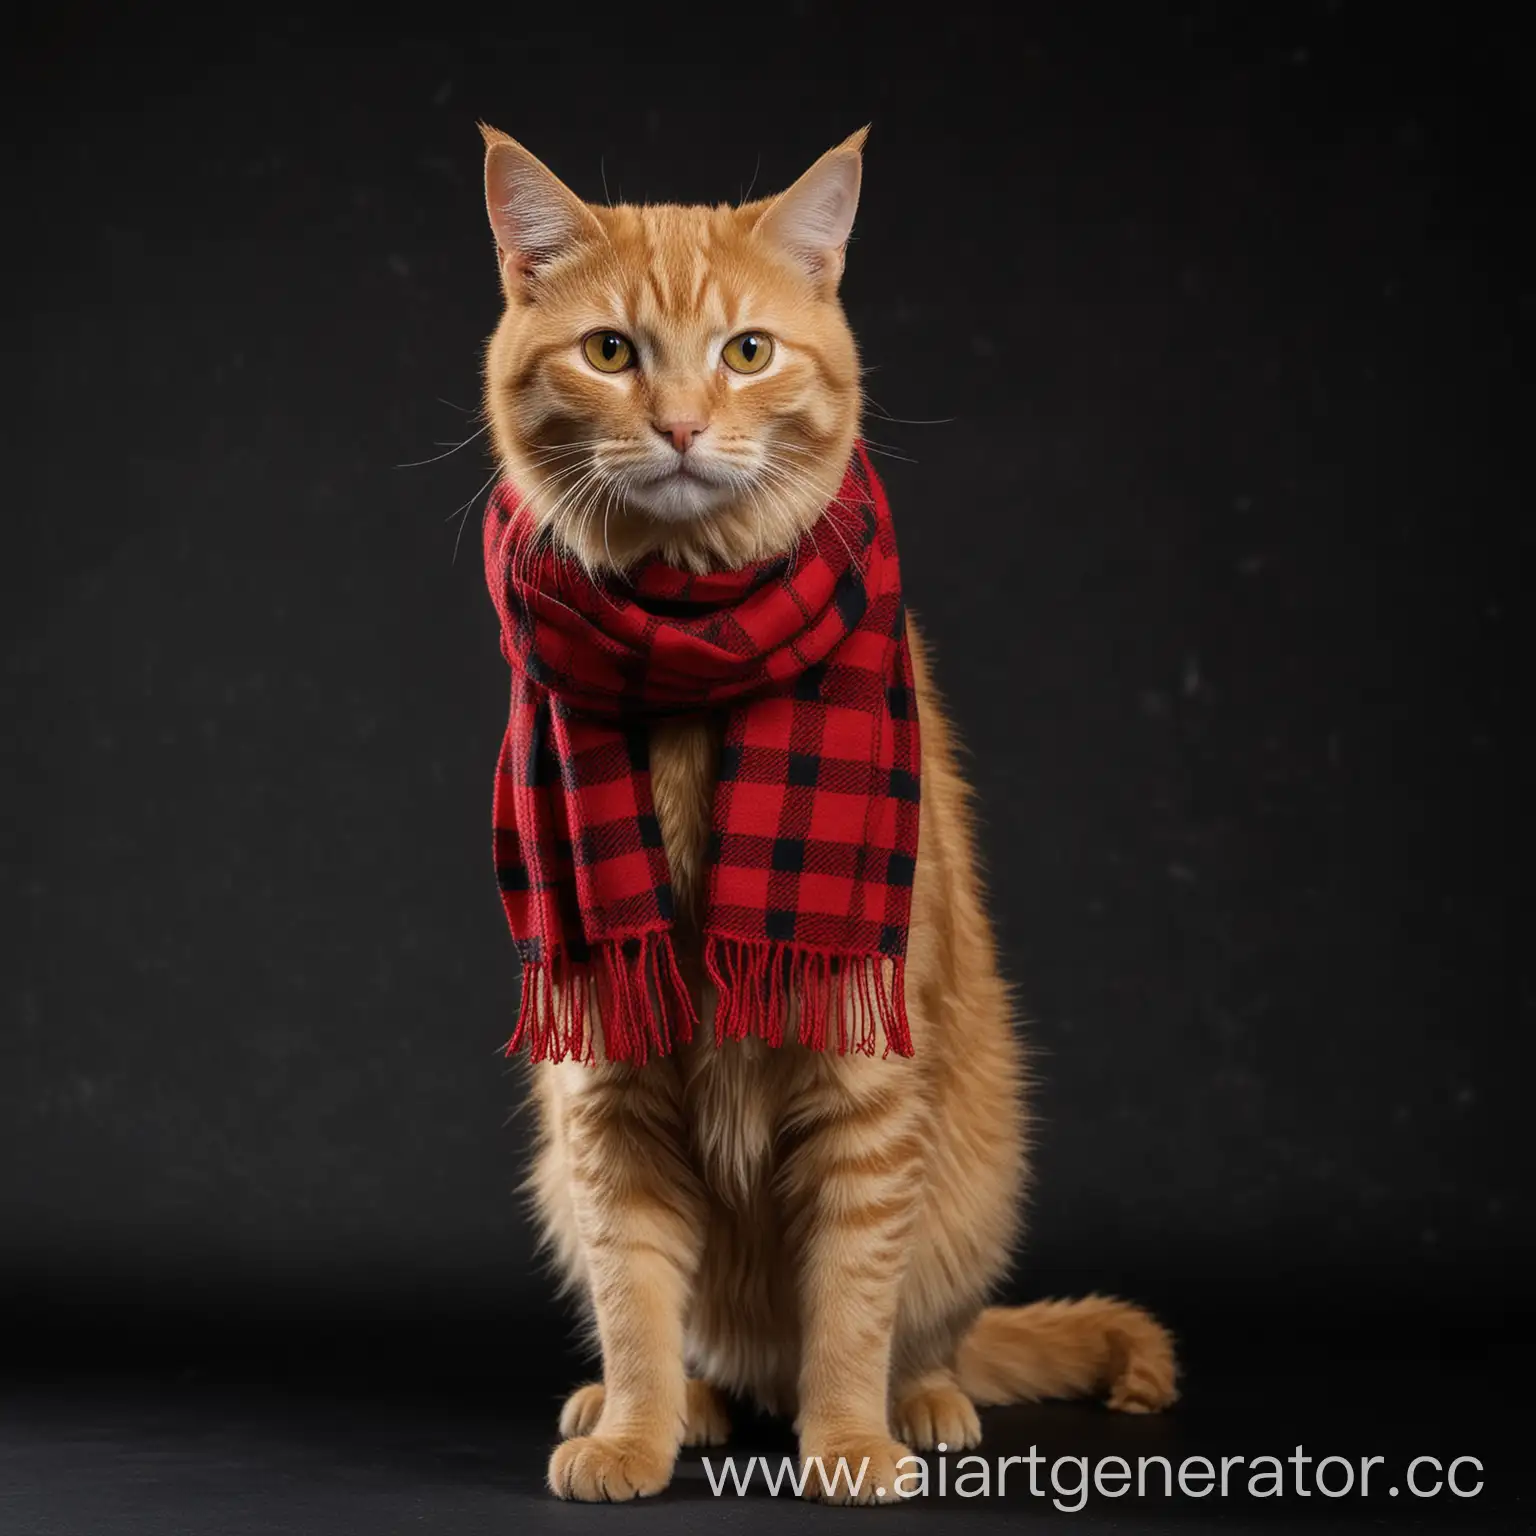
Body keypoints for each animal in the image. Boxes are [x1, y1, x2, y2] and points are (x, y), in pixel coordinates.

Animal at [476, 125, 1173, 1505]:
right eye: (611, 352)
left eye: (747, 352)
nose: (682, 426)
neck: (693, 660)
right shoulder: (605, 1083)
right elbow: (637, 1293)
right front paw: (634, 1431)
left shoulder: (867, 1077)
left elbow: (852, 1297)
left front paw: (849, 1443)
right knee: (694, 1333)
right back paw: (663, 1404)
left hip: (976, 1178)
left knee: (925, 1328)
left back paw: (925, 1403)